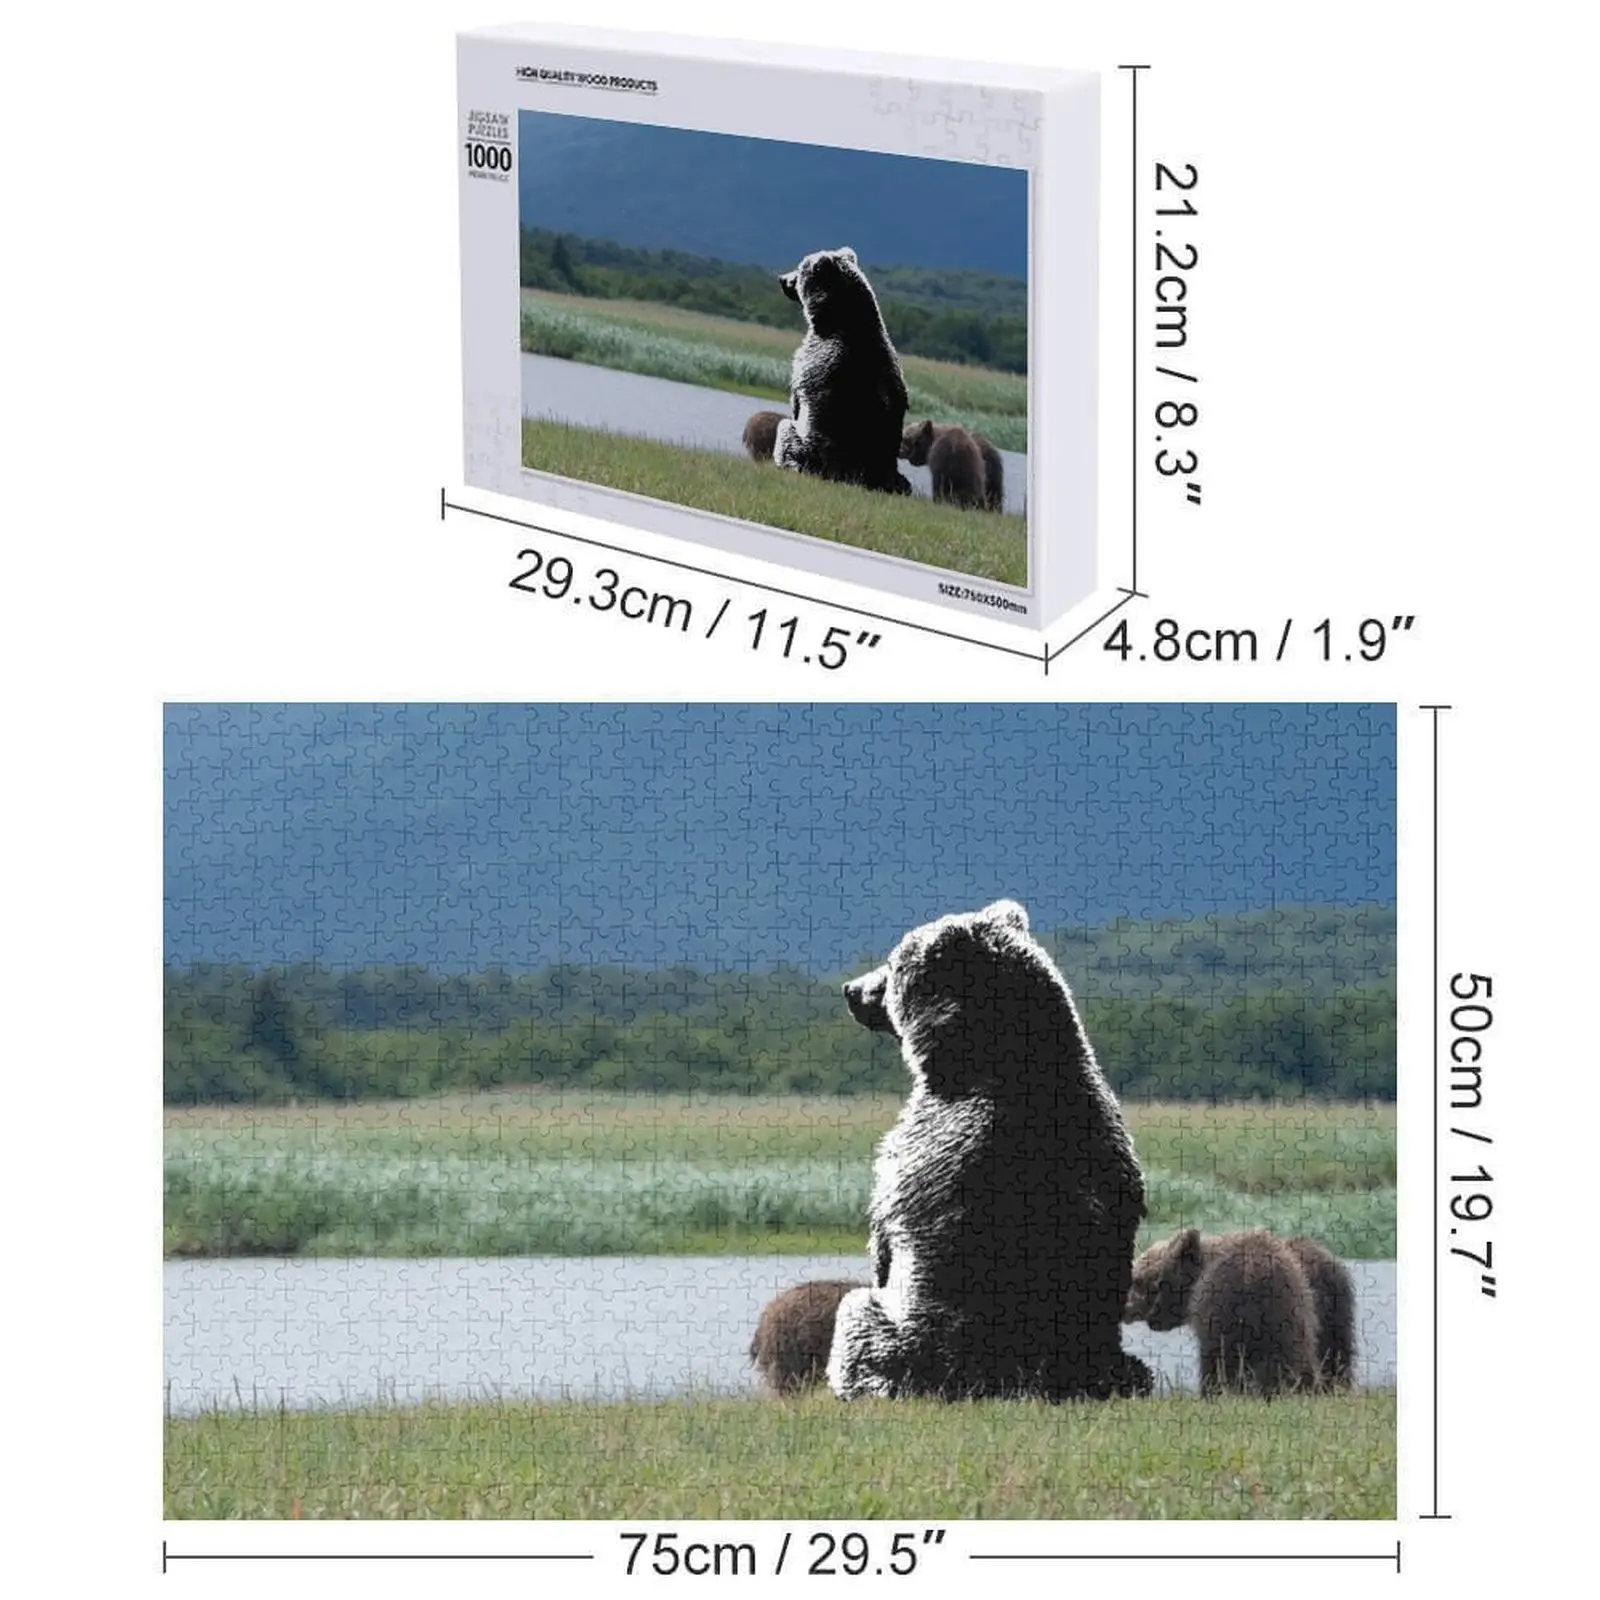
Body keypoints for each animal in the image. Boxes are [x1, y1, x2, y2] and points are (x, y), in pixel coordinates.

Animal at [773, 247, 912, 495]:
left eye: (800, 269)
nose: (782, 279)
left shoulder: (814, 359)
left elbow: (797, 398)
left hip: (812, 451)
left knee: (785, 430)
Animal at [826, 899, 1151, 1402]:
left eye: (893, 963)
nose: (852, 990)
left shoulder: (931, 1136)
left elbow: (888, 1217)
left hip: (909, 1341)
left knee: (855, 1315)